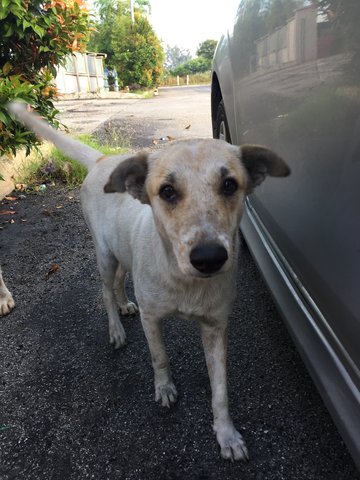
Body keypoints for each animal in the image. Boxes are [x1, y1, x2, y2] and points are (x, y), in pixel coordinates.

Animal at [7, 102, 290, 462]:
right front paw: (165, 389)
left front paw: (226, 434)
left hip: (123, 253)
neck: (183, 280)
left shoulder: (216, 327)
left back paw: (125, 304)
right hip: (104, 255)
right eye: (167, 191)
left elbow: (220, 390)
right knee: (105, 290)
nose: (210, 258)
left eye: (229, 185)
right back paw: (116, 329)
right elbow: (160, 357)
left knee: (119, 282)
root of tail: (103, 160)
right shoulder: (152, 318)